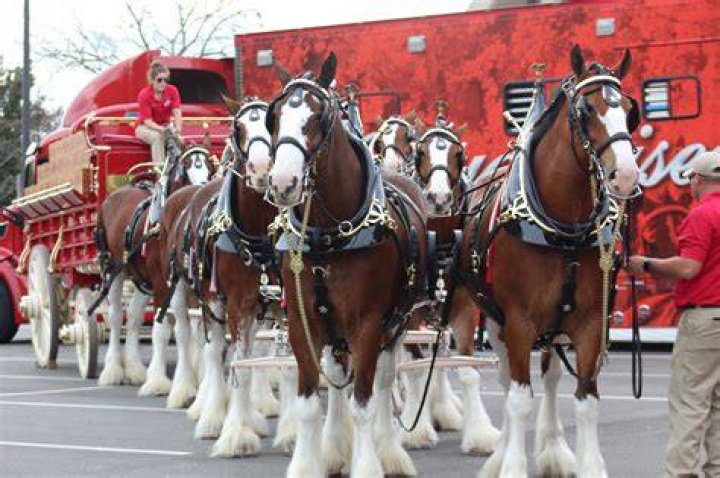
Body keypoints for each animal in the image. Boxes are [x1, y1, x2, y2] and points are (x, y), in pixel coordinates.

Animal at [94, 130, 216, 388]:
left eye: (210, 167)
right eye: (185, 168)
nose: (203, 192)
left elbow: (194, 326)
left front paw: (195, 376)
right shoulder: (162, 282)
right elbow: (162, 329)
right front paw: (159, 381)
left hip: (141, 279)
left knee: (133, 317)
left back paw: (134, 369)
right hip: (113, 269)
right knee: (115, 316)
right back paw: (112, 369)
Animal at [265, 53, 429, 477]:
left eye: (318, 117)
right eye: (275, 117)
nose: (283, 182)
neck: (327, 236)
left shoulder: (368, 324)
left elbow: (365, 403)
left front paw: (369, 463)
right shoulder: (302, 323)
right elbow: (310, 406)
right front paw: (309, 463)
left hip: (396, 322)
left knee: (383, 382)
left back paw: (388, 450)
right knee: (338, 379)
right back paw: (335, 447)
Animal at [453, 45, 640, 477]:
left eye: (629, 109)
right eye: (586, 111)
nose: (625, 175)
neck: (563, 227)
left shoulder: (590, 323)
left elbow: (586, 400)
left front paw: (588, 464)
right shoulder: (519, 321)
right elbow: (519, 398)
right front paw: (512, 465)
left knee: (551, 376)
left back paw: (554, 447)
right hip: (491, 317)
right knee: (507, 380)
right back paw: (500, 452)